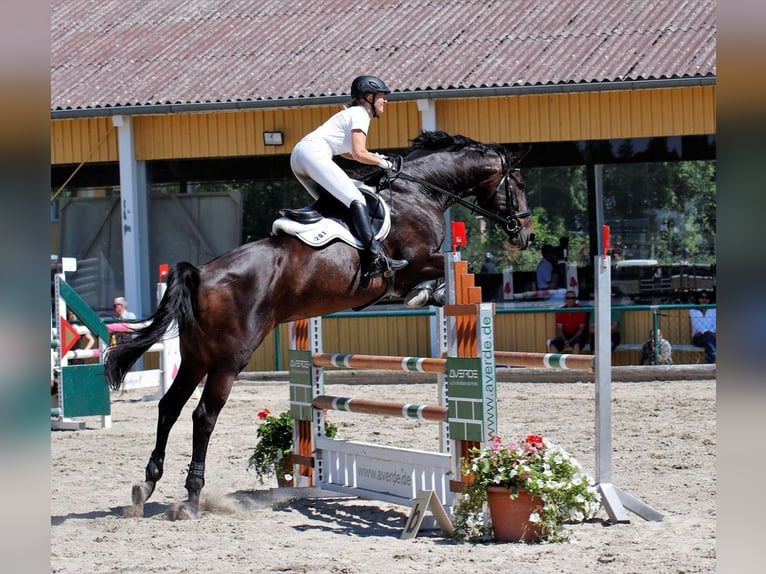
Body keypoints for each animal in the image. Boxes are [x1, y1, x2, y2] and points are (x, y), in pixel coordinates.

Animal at [103, 133, 536, 520]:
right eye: (518, 183)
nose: (527, 235)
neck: (418, 192)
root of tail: (201, 274)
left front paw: (429, 295)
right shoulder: (414, 262)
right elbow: (443, 270)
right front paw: (431, 293)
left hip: (196, 356)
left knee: (169, 406)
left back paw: (147, 484)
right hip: (229, 358)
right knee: (203, 416)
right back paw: (192, 498)